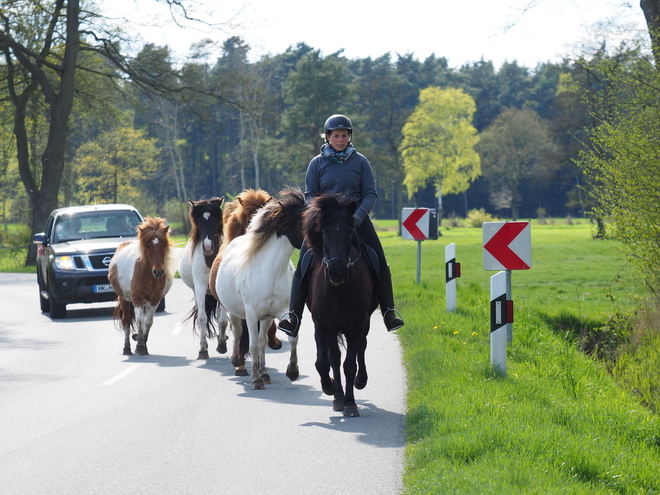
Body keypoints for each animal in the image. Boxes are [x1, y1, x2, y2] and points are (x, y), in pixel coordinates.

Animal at [108, 217, 177, 356]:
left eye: (163, 245)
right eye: (148, 245)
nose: (158, 272)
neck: (147, 273)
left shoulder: (155, 300)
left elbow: (148, 321)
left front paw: (143, 344)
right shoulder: (137, 298)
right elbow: (139, 319)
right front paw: (139, 346)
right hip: (124, 299)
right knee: (127, 320)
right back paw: (127, 349)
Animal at [217, 188, 306, 390]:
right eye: (302, 222)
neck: (271, 272)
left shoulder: (281, 312)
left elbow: (291, 338)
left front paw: (292, 371)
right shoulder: (251, 314)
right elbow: (253, 345)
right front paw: (255, 381)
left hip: (266, 317)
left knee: (263, 340)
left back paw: (264, 373)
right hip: (235, 311)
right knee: (238, 332)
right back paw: (237, 362)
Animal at [302, 194, 376, 418]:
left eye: (350, 233)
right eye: (324, 232)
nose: (337, 272)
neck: (339, 290)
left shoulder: (358, 324)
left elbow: (350, 364)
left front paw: (351, 403)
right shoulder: (321, 325)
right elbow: (323, 362)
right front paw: (330, 388)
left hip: (363, 323)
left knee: (361, 347)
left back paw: (359, 382)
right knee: (334, 356)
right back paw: (338, 396)